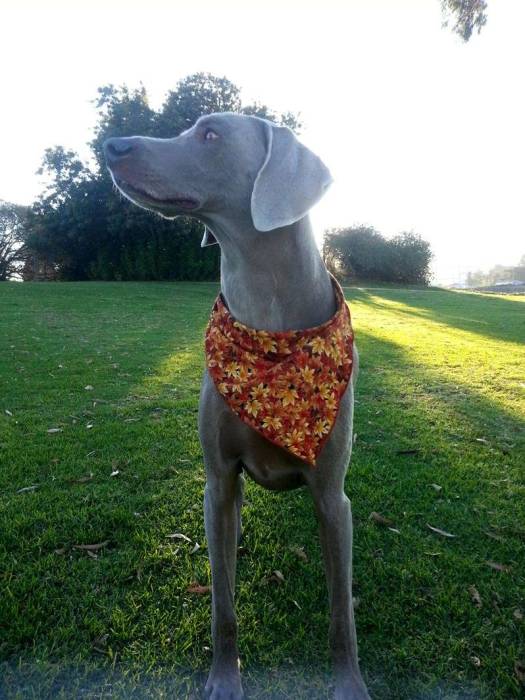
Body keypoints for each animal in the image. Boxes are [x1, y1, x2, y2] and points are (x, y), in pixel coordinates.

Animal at [103, 115, 368, 700]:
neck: (267, 322)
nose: (110, 145)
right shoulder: (219, 481)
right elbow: (222, 602)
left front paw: (350, 683)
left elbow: (341, 609)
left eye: (210, 134)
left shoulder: (333, 495)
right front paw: (225, 678)